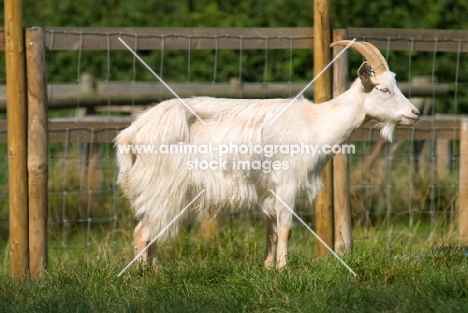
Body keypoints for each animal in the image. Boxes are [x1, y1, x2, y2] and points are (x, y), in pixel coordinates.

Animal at [116, 40, 420, 268]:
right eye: (383, 89)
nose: (415, 113)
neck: (316, 123)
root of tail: (132, 133)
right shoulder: (287, 182)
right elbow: (285, 227)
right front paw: (284, 268)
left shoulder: (269, 188)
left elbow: (271, 230)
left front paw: (268, 268)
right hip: (163, 185)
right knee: (143, 231)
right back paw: (145, 275)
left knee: (150, 230)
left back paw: (153, 270)